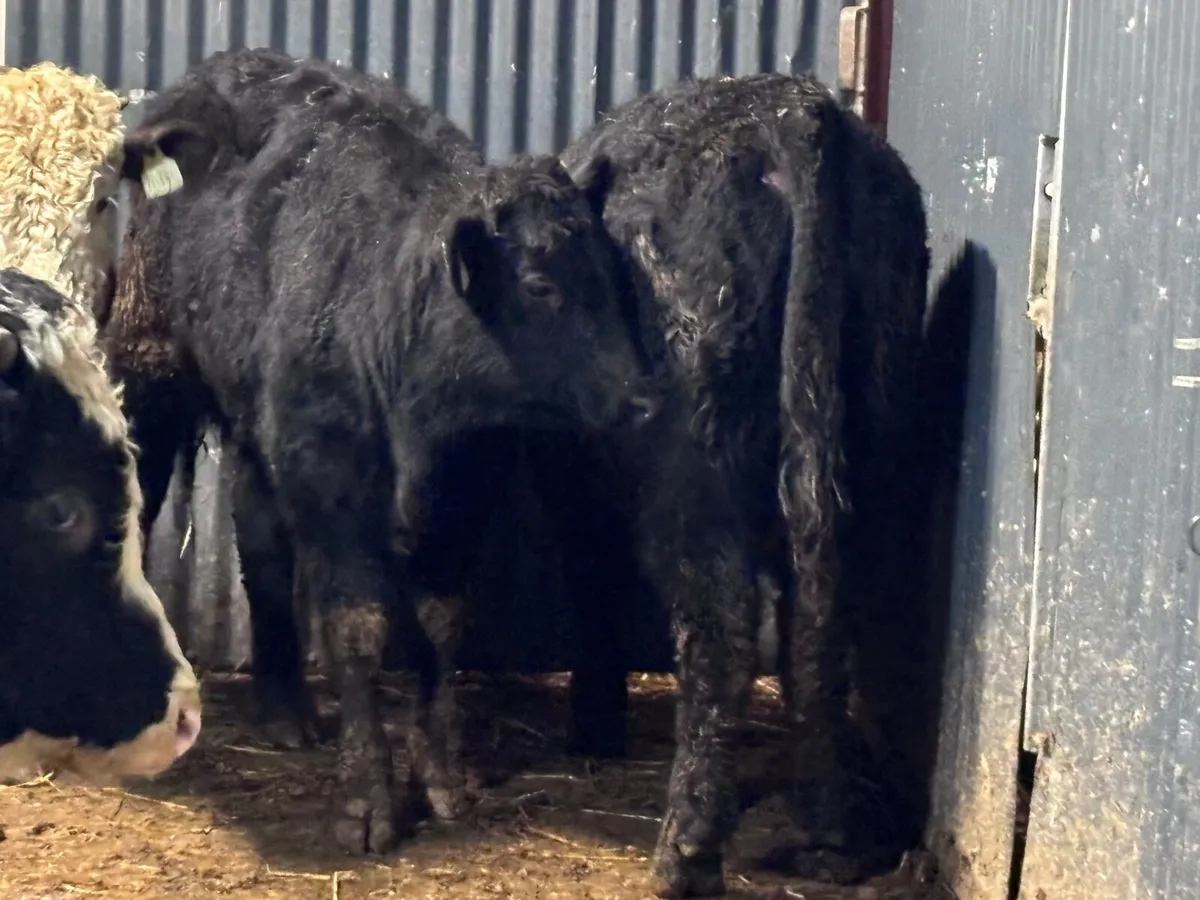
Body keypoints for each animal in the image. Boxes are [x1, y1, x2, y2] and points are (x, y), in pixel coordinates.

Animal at [105, 48, 661, 855]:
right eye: (537, 284)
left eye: (617, 277)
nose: (642, 400)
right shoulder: (333, 491)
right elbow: (359, 628)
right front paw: (367, 800)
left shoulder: (462, 497)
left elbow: (441, 625)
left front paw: (441, 779)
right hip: (152, 365)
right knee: (145, 499)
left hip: (259, 430)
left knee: (262, 545)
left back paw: (286, 708)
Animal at [558, 73, 931, 896]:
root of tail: (794, 114)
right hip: (871, 432)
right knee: (821, 625)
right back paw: (832, 838)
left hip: (691, 471)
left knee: (721, 626)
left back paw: (685, 855)